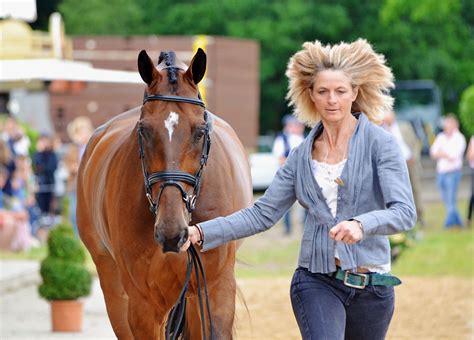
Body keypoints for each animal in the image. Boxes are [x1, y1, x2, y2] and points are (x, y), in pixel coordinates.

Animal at [78, 48, 254, 340]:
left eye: (200, 131)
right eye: (143, 129)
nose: (171, 232)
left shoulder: (217, 290)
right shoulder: (143, 306)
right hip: (113, 284)